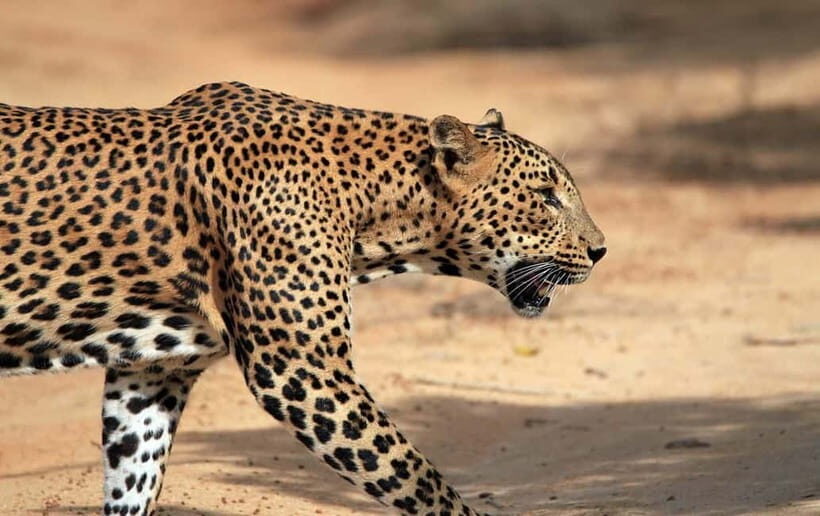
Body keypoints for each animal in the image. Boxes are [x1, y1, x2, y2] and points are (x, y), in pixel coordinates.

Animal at [0, 81, 606, 515]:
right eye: (546, 197)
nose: (601, 250)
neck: (376, 209)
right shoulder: (302, 368)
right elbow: (415, 477)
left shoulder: (153, 372)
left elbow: (133, 478)